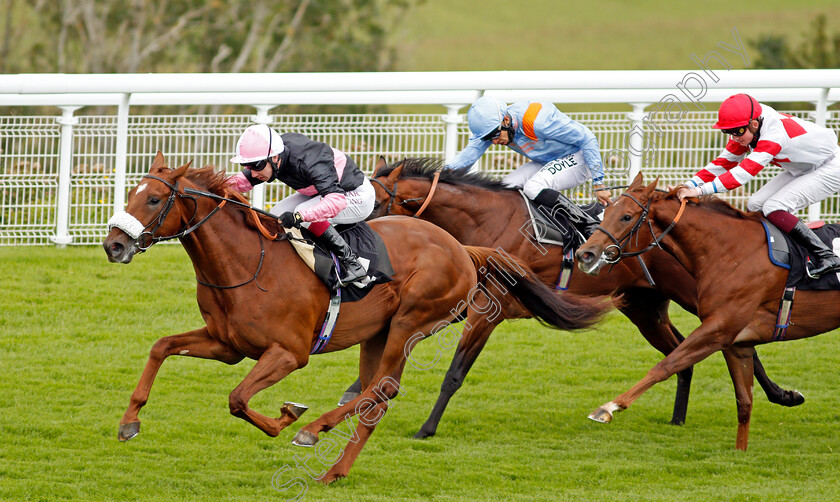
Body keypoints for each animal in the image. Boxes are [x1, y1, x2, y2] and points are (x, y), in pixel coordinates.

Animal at [100, 151, 612, 480]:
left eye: (152, 200)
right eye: (131, 194)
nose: (113, 245)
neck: (247, 263)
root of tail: (462, 249)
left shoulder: (289, 354)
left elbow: (238, 399)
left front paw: (287, 417)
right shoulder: (226, 344)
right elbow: (161, 347)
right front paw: (129, 421)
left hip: (411, 322)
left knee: (382, 390)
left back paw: (314, 434)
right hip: (377, 333)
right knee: (370, 394)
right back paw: (335, 468)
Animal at [344, 157, 804, 440]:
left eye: (374, 201)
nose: (361, 243)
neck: (487, 219)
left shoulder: (488, 310)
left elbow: (454, 372)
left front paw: (426, 428)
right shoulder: (465, 300)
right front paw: (355, 392)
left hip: (696, 295)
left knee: (731, 341)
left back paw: (782, 394)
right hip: (645, 308)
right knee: (683, 351)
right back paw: (678, 416)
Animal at [576, 175, 840, 450]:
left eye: (626, 216)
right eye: (606, 212)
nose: (585, 254)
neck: (732, 251)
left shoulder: (719, 329)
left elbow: (666, 365)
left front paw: (609, 407)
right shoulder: (737, 343)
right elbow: (744, 403)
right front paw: (740, 451)